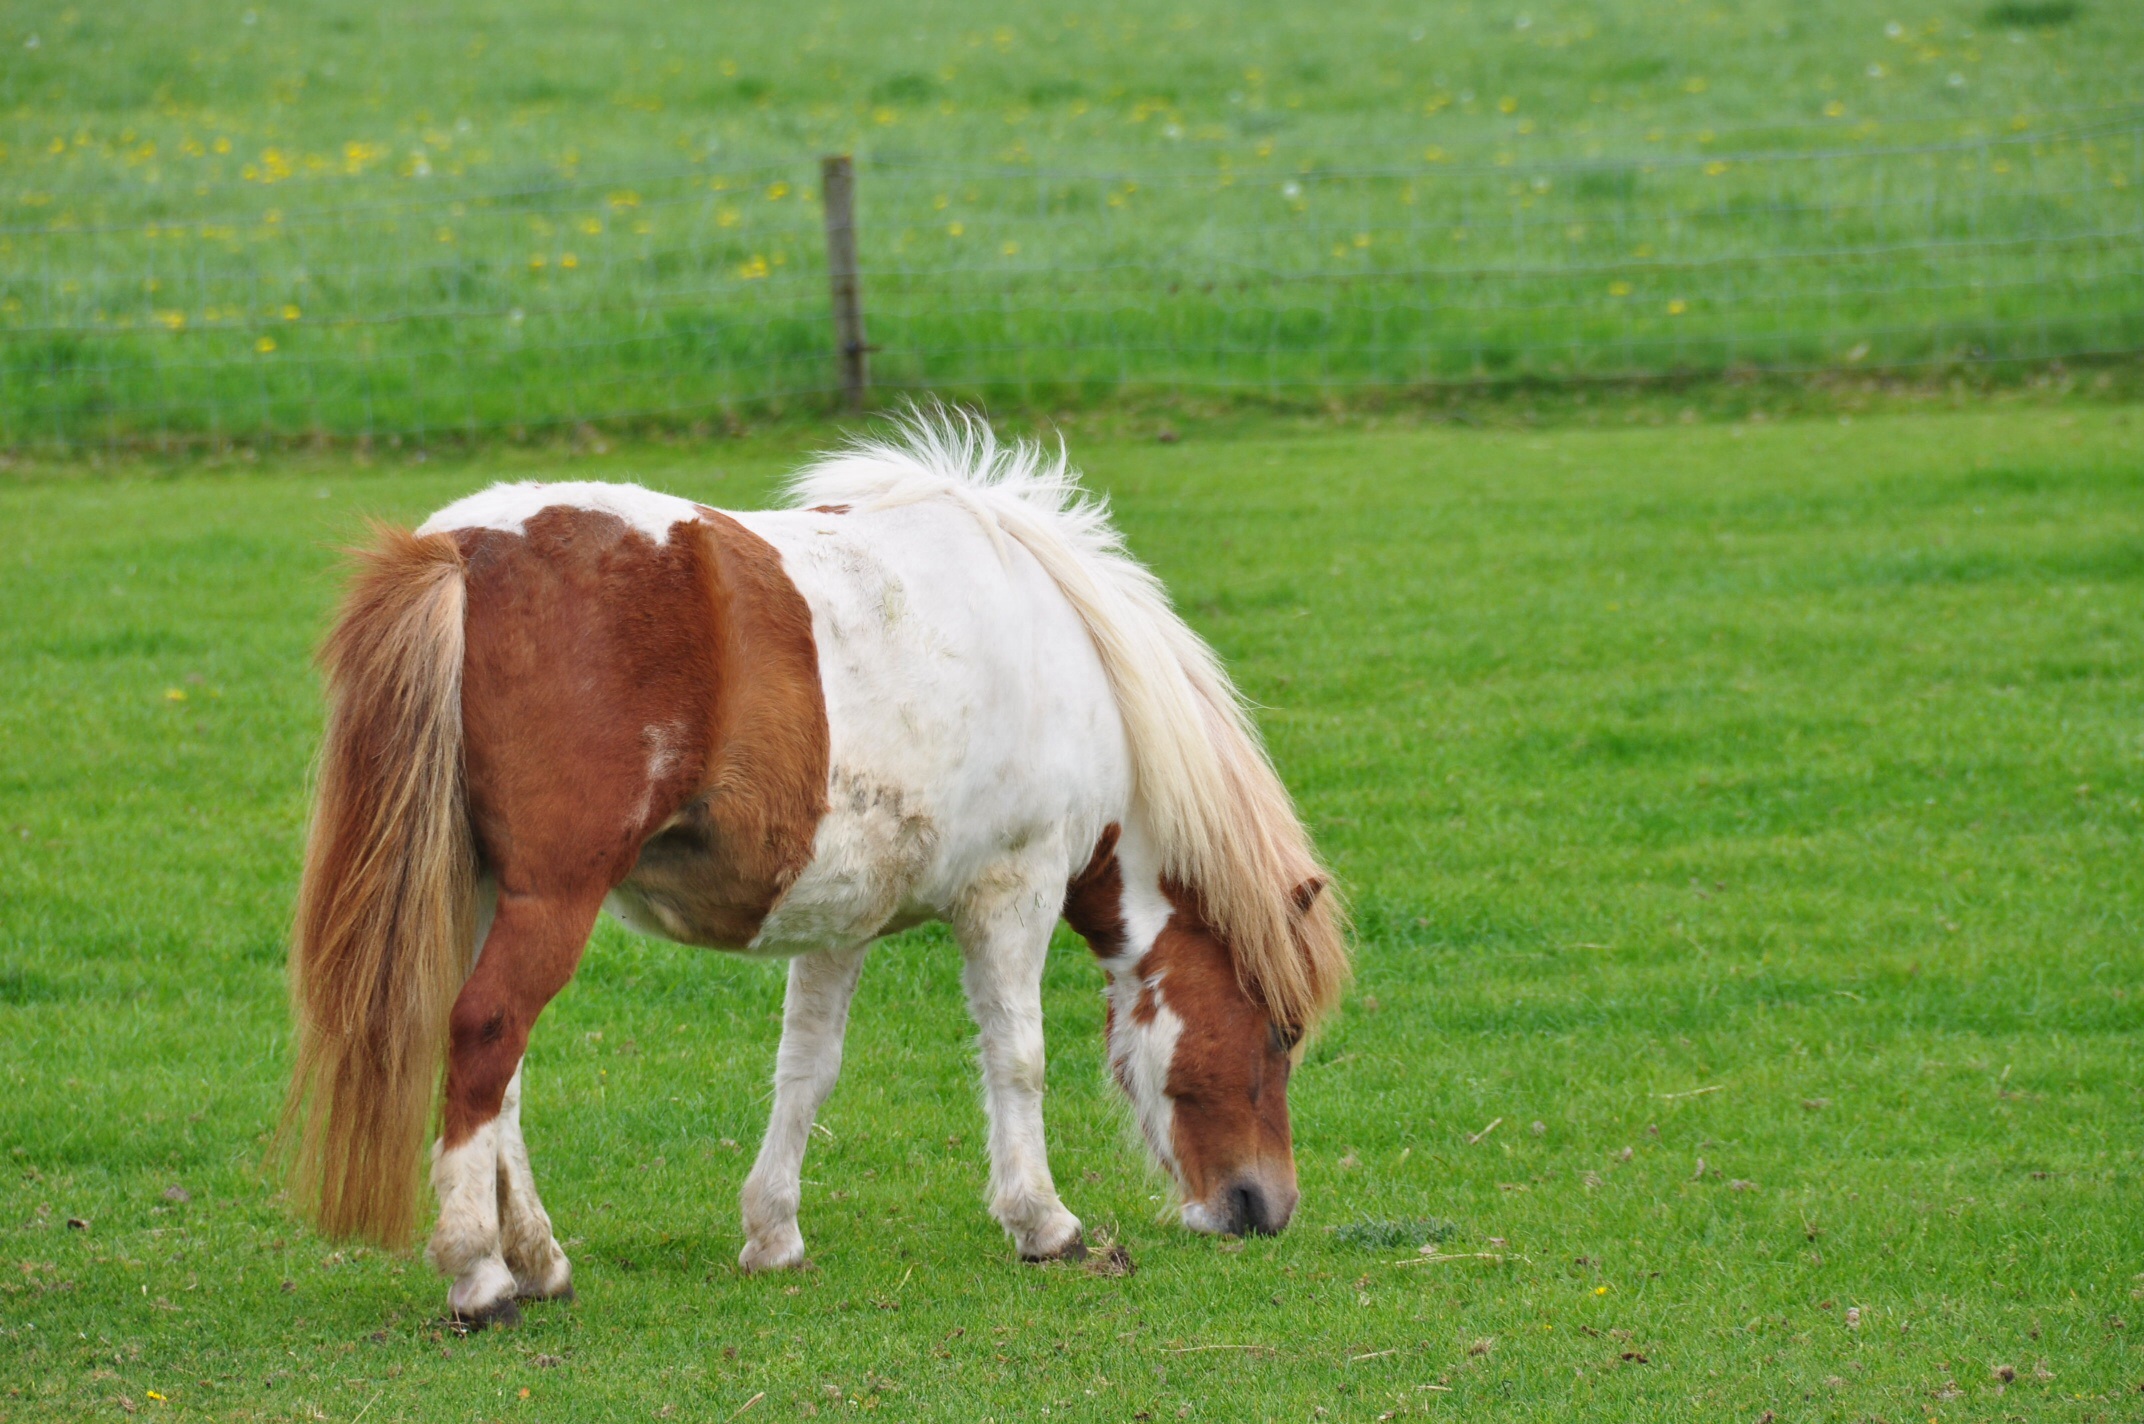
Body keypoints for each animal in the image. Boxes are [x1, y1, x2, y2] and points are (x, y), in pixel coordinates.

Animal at [281, 411, 1349, 1326]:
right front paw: (1044, 1225)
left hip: (486, 892)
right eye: (1282, 1033)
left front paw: (773, 1232)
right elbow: (1020, 1057)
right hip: (553, 899)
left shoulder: (840, 919)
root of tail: (460, 551)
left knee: (497, 1077)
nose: (1264, 1207)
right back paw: (482, 1274)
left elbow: (807, 1068)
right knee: (486, 1038)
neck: (1060, 655)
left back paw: (539, 1259)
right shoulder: (1014, 891)